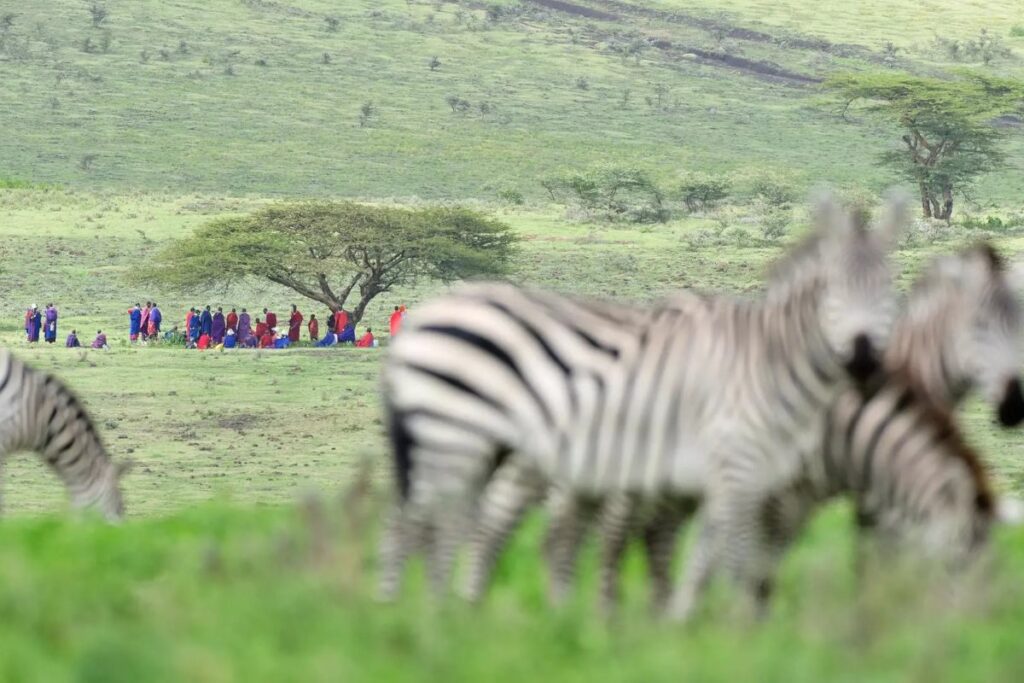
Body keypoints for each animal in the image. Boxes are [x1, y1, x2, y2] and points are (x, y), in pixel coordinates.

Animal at [378, 191, 905, 598]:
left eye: (891, 290)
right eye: (831, 292)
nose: (864, 360)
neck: (765, 354)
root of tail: (427, 319)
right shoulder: (733, 464)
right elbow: (731, 555)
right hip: (457, 433)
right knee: (428, 524)